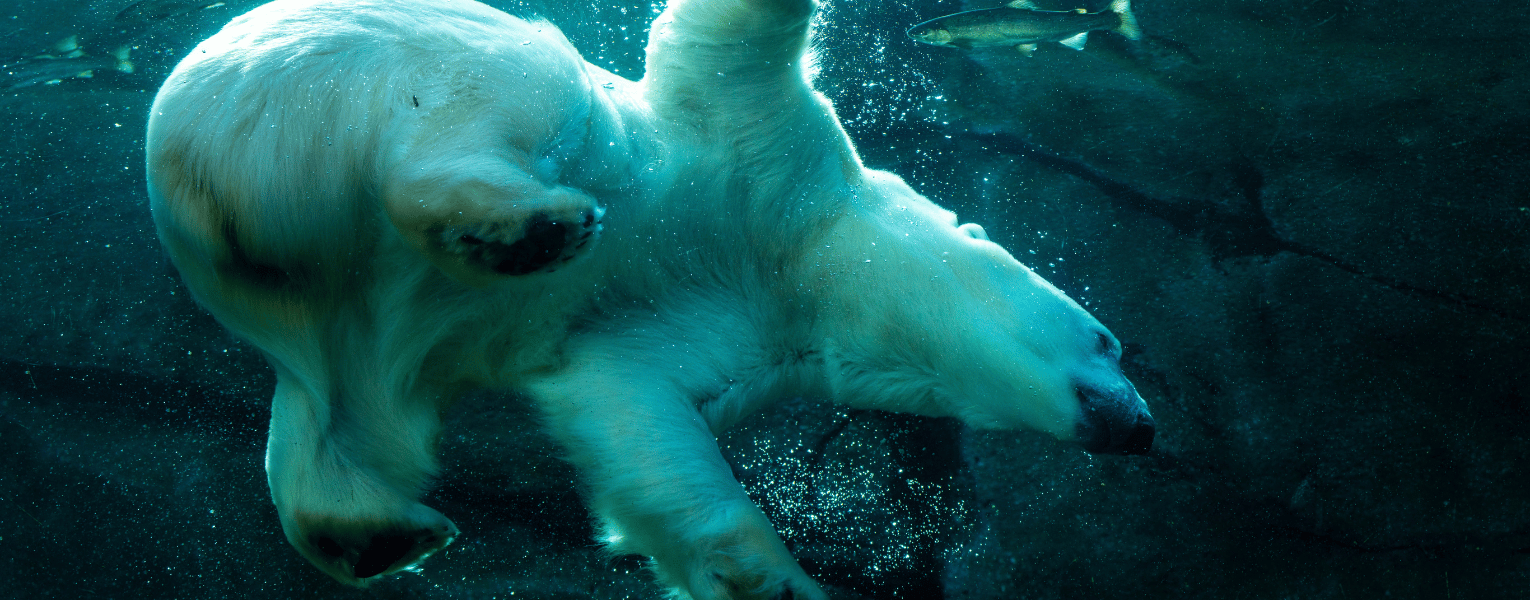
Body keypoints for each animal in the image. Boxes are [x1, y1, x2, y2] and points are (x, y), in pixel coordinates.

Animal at [146, 0, 1150, 596]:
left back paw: (385, 536)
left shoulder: (694, 336)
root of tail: (192, 185)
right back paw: (537, 226)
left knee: (336, 426)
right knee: (509, 101)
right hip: (360, 91)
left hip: (330, 321)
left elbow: (638, 435)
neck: (787, 259)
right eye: (1108, 337)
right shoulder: (768, 149)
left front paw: (770, 578)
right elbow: (734, 44)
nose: (1140, 425)